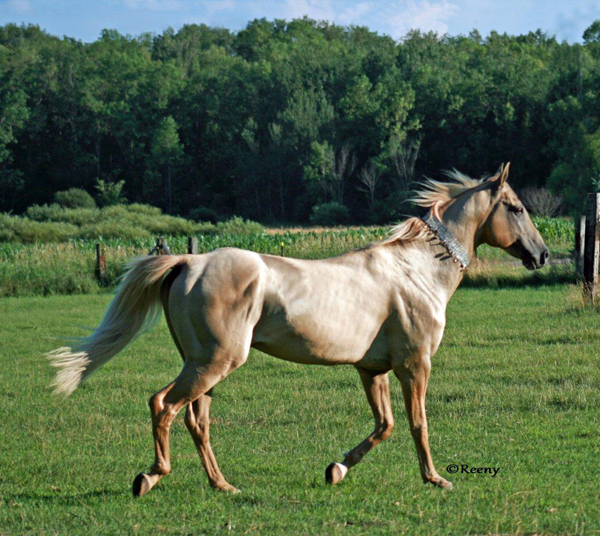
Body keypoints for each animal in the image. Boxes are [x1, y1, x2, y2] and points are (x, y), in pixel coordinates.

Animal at [49, 161, 548, 496]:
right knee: (163, 405)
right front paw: (436, 479)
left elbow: (384, 425)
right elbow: (417, 423)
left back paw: (223, 485)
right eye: (516, 207)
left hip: (204, 365)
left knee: (196, 419)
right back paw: (150, 477)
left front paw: (336, 470)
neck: (417, 271)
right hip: (213, 362)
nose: (541, 255)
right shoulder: (414, 364)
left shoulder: (372, 370)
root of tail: (189, 261)